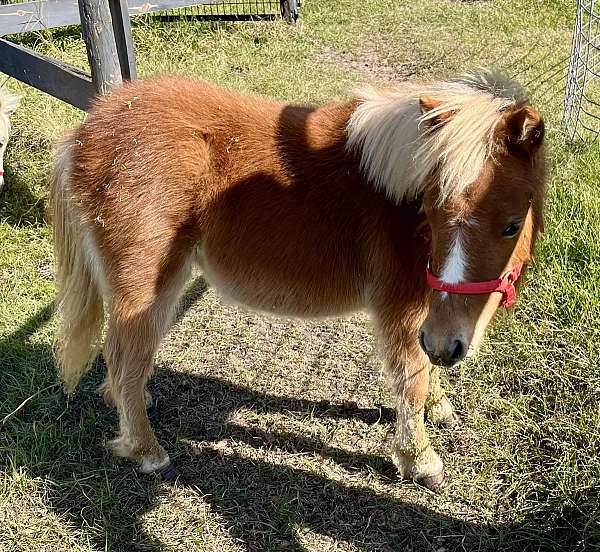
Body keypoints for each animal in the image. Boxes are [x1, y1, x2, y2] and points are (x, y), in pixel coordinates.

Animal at [49, 68, 548, 488]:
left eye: (511, 225)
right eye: (430, 211)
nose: (450, 347)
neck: (396, 191)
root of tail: (84, 133)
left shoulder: (430, 307)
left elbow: (426, 367)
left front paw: (439, 408)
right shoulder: (403, 307)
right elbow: (412, 375)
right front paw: (420, 460)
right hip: (147, 279)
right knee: (123, 355)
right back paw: (147, 450)